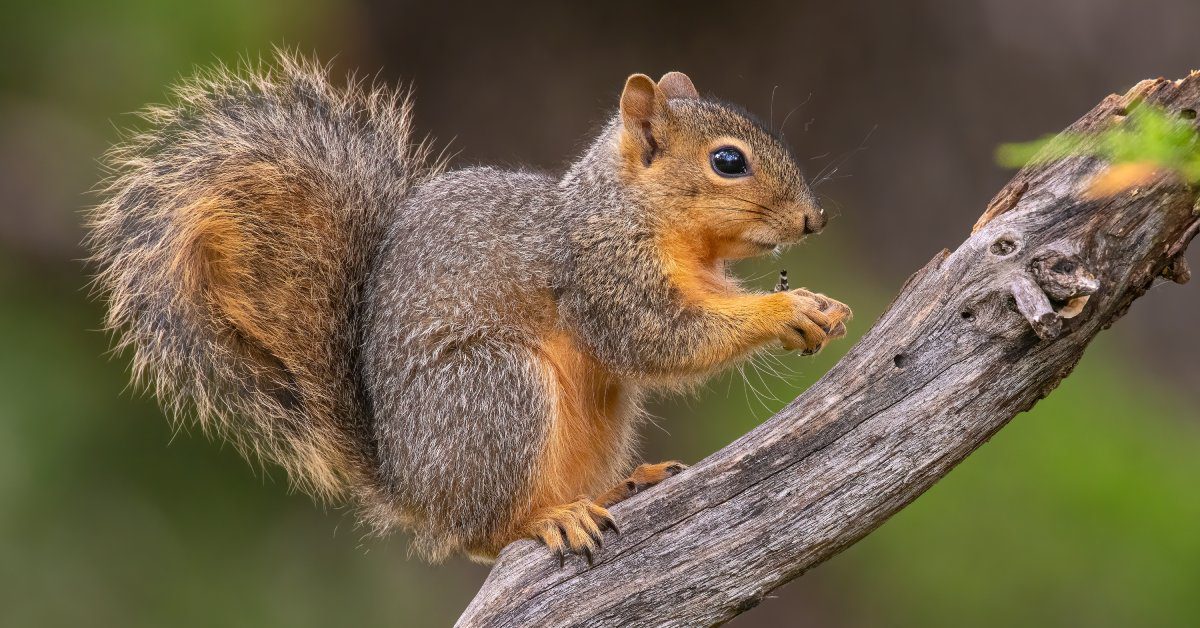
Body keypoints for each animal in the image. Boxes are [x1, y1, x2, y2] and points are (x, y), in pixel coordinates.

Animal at [88, 52, 851, 565]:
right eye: (728, 162)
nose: (814, 219)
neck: (630, 210)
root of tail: (413, 488)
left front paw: (813, 301)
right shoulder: (601, 274)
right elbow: (659, 338)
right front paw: (782, 312)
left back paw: (619, 487)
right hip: (494, 389)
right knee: (485, 536)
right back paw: (547, 521)